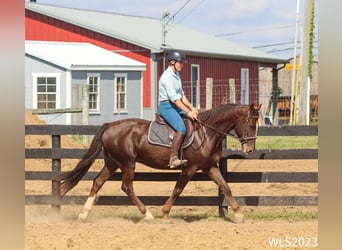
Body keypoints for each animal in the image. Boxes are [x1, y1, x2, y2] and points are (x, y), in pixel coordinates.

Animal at [54, 103, 262, 223]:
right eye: (251, 124)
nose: (250, 149)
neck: (206, 133)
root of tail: (109, 126)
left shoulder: (210, 167)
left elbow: (226, 187)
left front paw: (239, 214)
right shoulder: (190, 168)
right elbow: (177, 190)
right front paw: (165, 213)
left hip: (112, 162)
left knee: (98, 182)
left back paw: (83, 214)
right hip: (127, 163)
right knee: (127, 187)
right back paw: (148, 215)